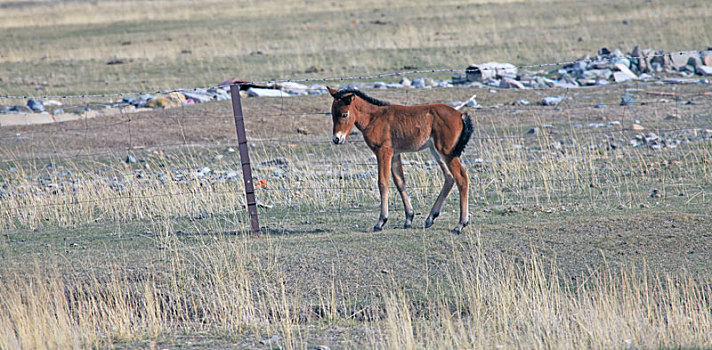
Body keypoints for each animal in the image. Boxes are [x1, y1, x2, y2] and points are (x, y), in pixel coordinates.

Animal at [328, 87, 472, 235]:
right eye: (333, 113)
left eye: (344, 114)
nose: (336, 139)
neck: (374, 118)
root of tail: (460, 114)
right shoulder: (395, 154)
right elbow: (400, 182)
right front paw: (409, 218)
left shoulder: (383, 152)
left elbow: (383, 182)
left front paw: (381, 222)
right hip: (436, 152)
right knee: (449, 177)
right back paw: (431, 218)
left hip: (447, 152)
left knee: (461, 177)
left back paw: (460, 224)